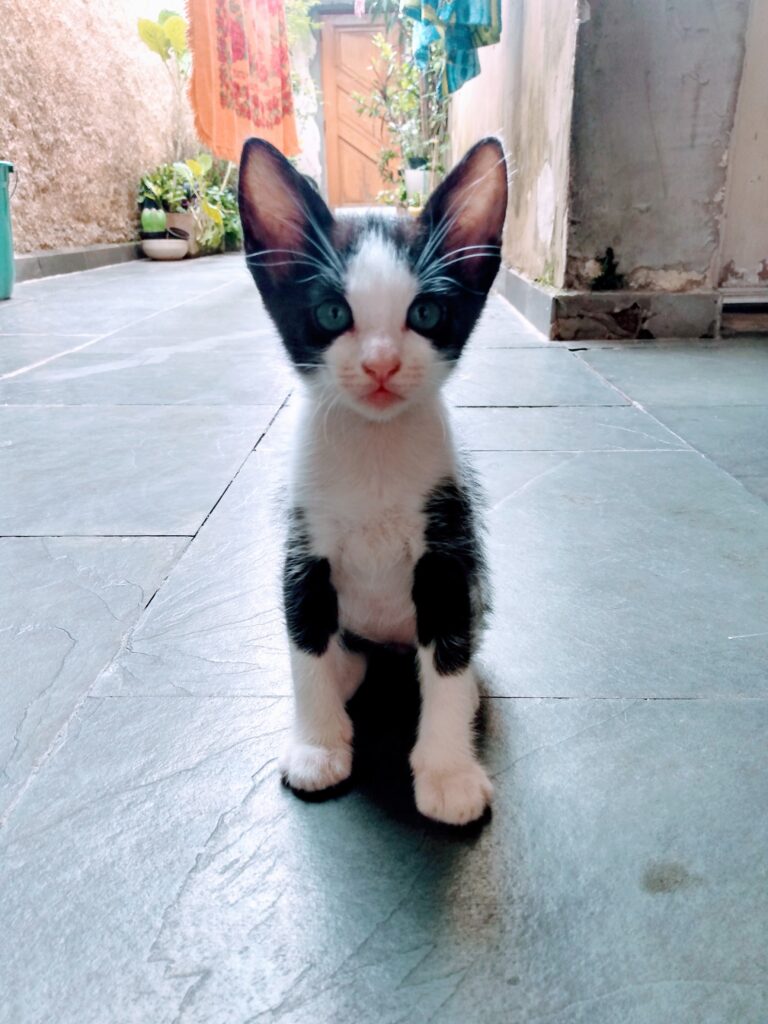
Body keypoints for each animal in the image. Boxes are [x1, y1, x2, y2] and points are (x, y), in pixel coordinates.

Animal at [237, 138, 507, 823]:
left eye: (427, 312)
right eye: (333, 313)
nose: (382, 364)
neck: (375, 453)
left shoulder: (450, 551)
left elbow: (449, 656)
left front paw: (447, 772)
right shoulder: (303, 550)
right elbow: (304, 642)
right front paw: (317, 747)